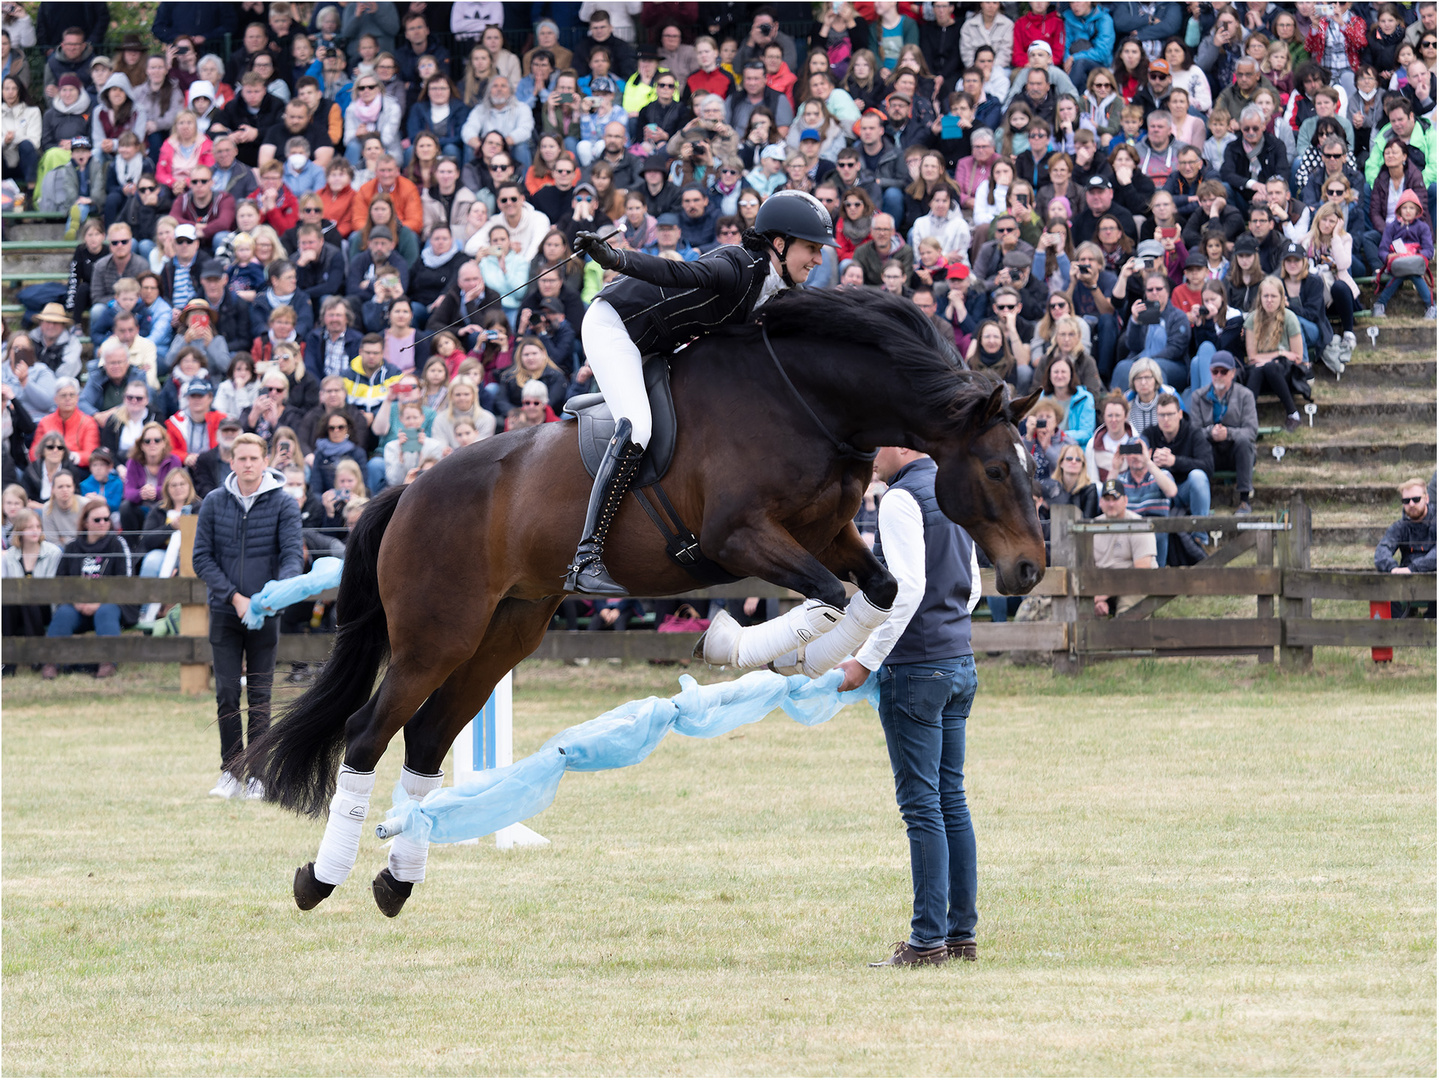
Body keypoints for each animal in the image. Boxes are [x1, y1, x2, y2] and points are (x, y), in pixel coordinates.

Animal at [238, 291, 1047, 914]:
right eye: (997, 468)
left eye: (1031, 465)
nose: (1029, 569)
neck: (808, 402)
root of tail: (408, 491)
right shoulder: (739, 536)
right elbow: (825, 594)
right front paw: (751, 648)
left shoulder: (830, 533)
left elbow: (877, 592)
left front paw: (798, 656)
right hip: (435, 637)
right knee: (368, 732)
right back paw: (321, 879)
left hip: (505, 631)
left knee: (428, 737)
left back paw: (396, 880)